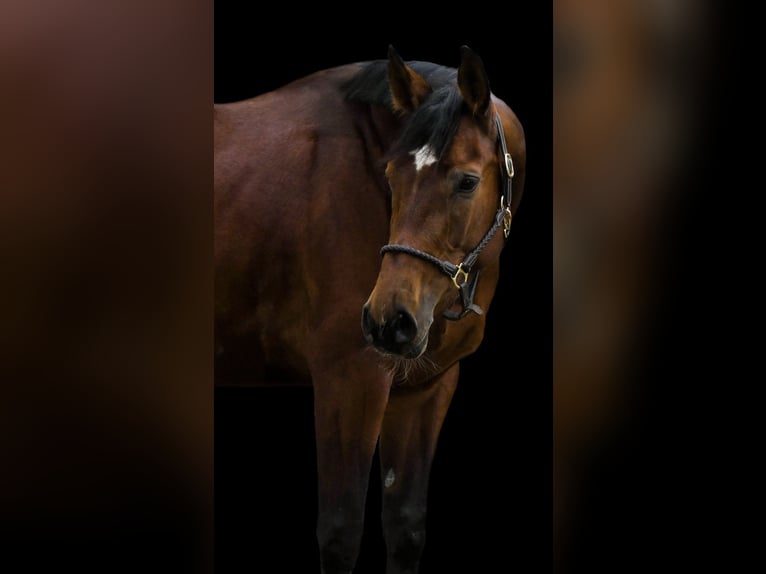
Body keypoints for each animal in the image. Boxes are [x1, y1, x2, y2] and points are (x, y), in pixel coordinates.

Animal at [214, 45, 526, 573]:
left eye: (466, 182)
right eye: (390, 176)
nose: (389, 321)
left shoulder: (424, 389)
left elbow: (405, 527)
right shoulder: (349, 378)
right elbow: (341, 531)